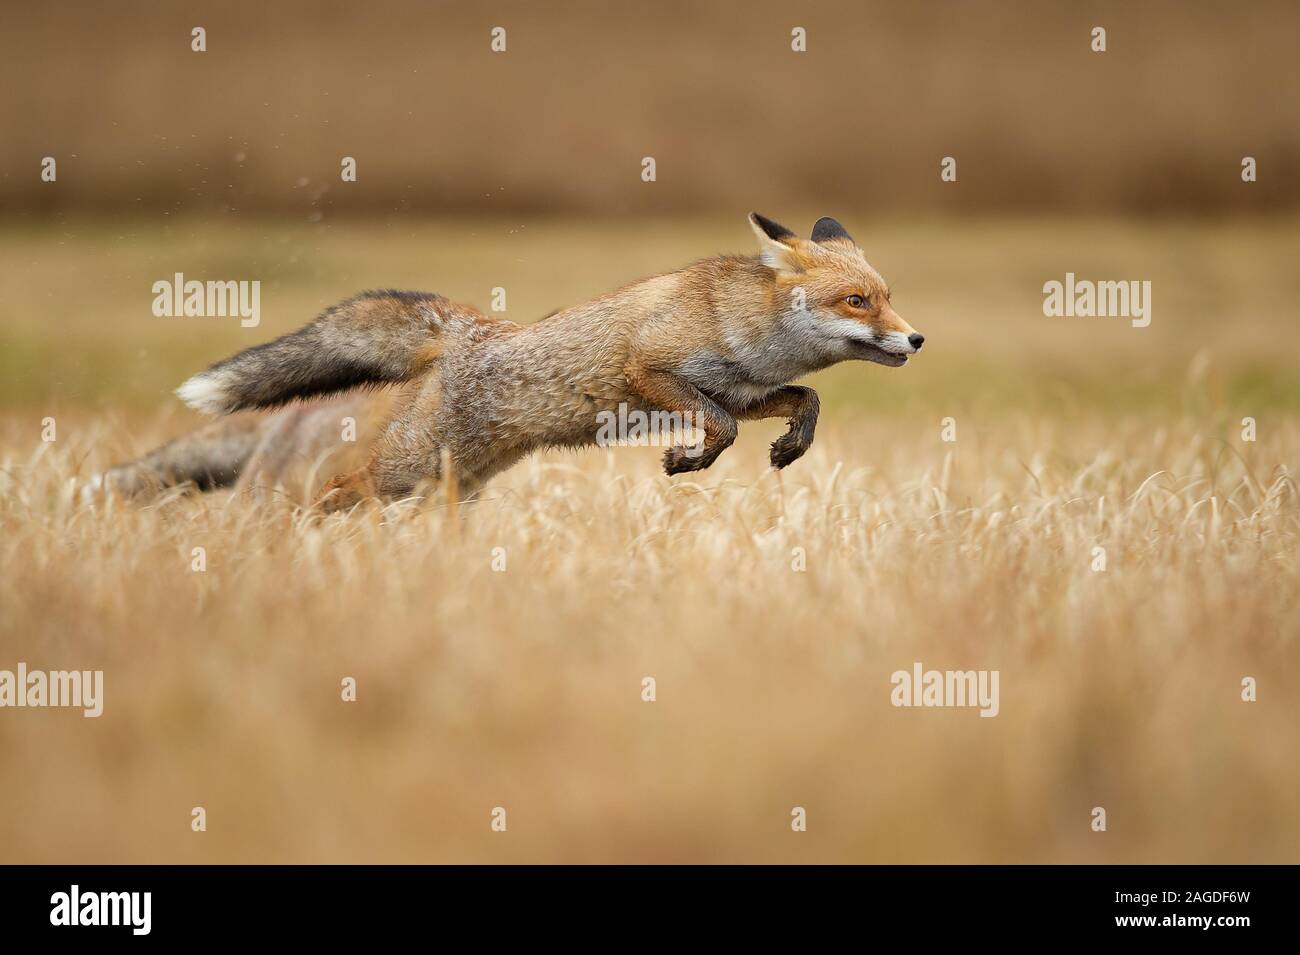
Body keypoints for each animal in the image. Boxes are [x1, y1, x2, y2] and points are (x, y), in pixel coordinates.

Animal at [90, 213, 924, 510]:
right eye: (858, 301)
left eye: (887, 297)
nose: (916, 339)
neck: (741, 326)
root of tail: (466, 327)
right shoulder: (652, 372)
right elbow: (716, 429)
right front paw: (688, 461)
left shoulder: (743, 389)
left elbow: (800, 403)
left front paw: (790, 445)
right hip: (393, 470)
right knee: (314, 488)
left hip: (446, 484)